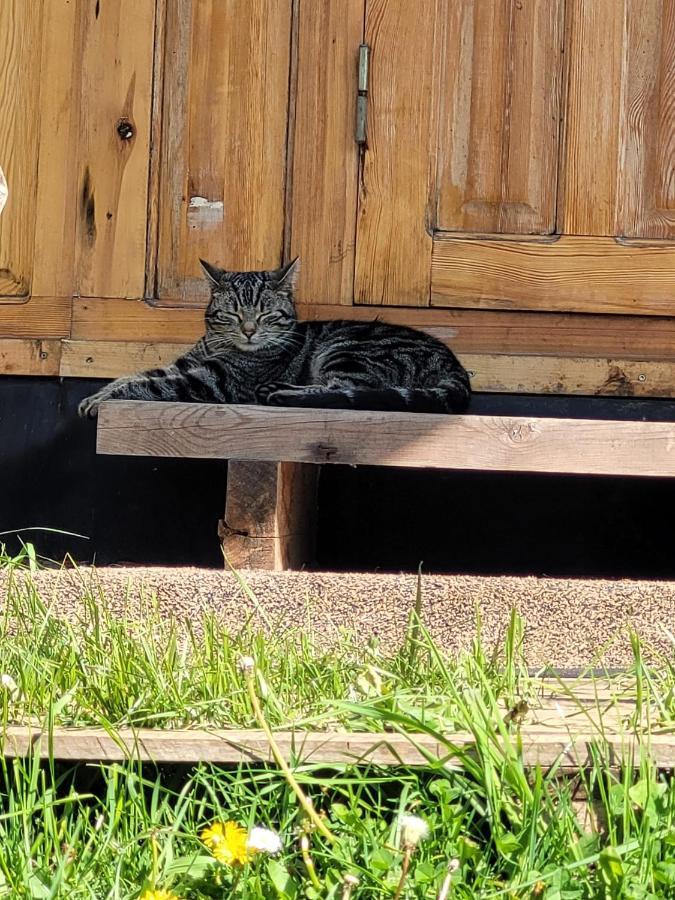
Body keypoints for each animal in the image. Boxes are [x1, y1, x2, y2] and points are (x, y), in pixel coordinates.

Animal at [76, 256, 472, 418]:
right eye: (234, 314)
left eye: (266, 314)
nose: (250, 331)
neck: (217, 344)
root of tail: (455, 365)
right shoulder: (187, 364)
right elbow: (137, 374)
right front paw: (99, 394)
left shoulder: (216, 381)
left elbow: (152, 384)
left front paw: (103, 400)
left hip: (350, 351)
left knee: (345, 391)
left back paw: (280, 392)